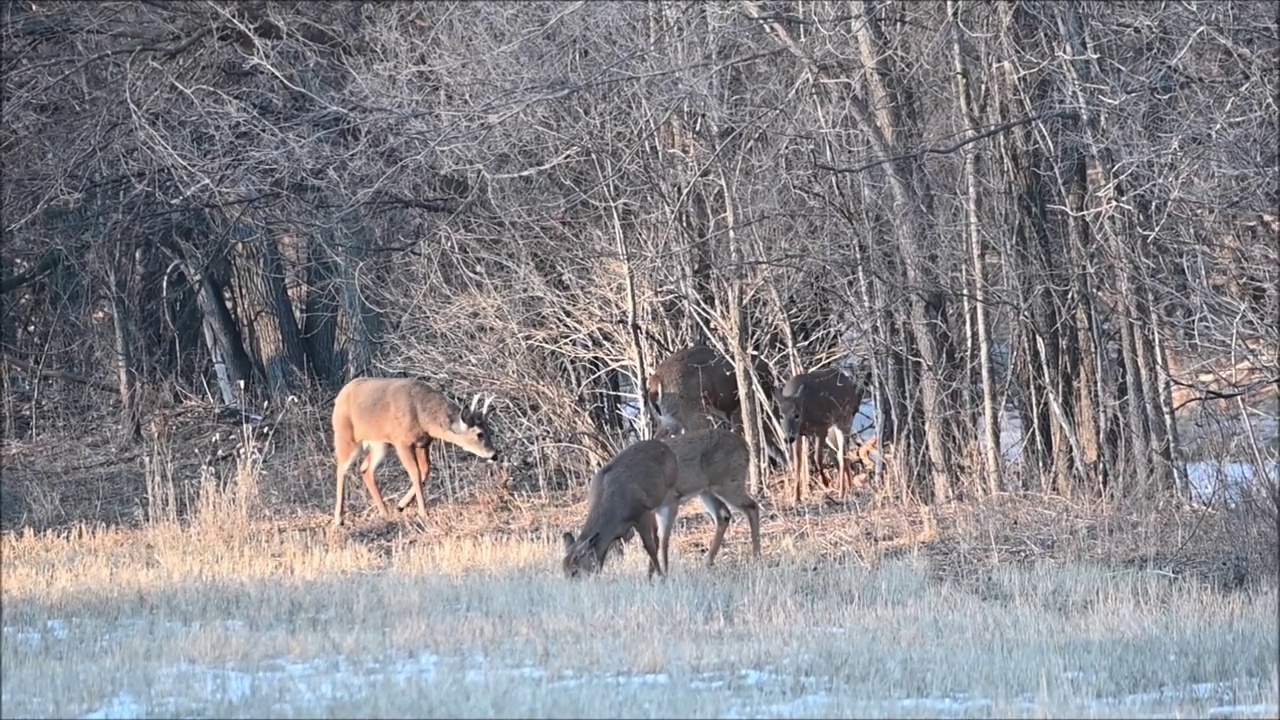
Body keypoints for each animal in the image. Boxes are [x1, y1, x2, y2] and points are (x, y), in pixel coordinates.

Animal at [332, 379, 496, 525]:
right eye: (479, 434)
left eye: (489, 430)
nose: (494, 454)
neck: (423, 417)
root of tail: (341, 394)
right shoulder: (402, 442)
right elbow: (415, 472)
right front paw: (423, 512)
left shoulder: (423, 443)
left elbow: (425, 470)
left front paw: (401, 504)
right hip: (345, 436)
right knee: (341, 469)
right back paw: (339, 518)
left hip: (380, 443)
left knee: (365, 469)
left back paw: (384, 511)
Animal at [560, 438, 680, 576]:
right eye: (564, 569)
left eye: (575, 571)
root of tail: (667, 449)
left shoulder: (640, 513)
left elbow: (649, 547)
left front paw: (660, 576)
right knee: (658, 537)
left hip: (668, 494)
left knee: (662, 537)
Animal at [660, 425, 757, 566]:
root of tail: (745, 445)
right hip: (707, 491)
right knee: (723, 515)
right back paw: (708, 560)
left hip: (727, 482)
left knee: (752, 507)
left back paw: (757, 556)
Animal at [773, 363, 865, 499]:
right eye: (781, 415)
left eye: (796, 415)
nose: (788, 438)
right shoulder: (799, 434)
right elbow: (798, 462)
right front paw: (796, 497)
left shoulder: (822, 427)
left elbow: (817, 457)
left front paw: (825, 482)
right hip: (833, 431)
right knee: (841, 452)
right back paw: (849, 487)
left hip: (844, 419)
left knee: (841, 454)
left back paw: (842, 491)